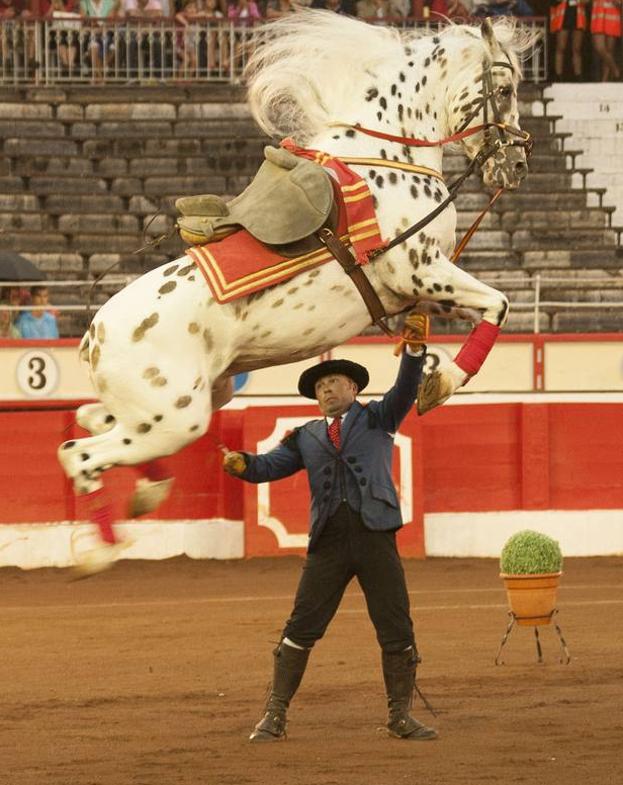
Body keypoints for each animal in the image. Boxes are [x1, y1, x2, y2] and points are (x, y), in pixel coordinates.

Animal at [57, 9, 536, 568]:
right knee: (79, 455)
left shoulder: (428, 288)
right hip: (175, 418)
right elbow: (499, 303)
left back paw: (146, 493)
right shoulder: (420, 270)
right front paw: (442, 383)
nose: (517, 165)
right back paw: (102, 551)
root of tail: (92, 335)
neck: (385, 159)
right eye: (503, 88)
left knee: (89, 420)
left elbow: (481, 310)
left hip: (190, 400)